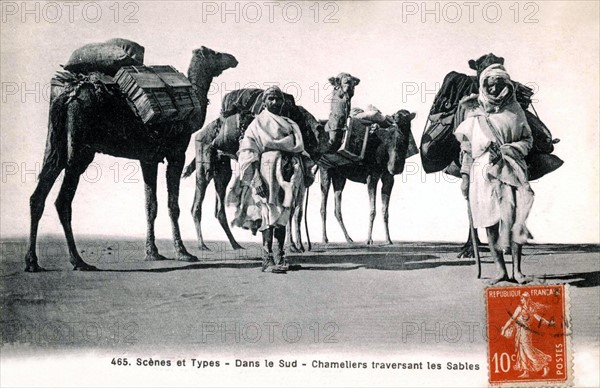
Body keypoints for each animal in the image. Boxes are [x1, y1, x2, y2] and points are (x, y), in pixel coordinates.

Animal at [23, 47, 239, 272]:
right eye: (215, 54)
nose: (233, 59)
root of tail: (67, 95)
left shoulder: (149, 158)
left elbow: (151, 205)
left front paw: (153, 253)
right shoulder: (176, 154)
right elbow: (173, 206)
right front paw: (183, 253)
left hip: (55, 145)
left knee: (39, 193)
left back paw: (32, 262)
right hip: (81, 149)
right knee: (63, 200)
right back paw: (78, 261)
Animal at [182, 88, 326, 252]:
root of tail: (203, 131)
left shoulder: (300, 181)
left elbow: (296, 212)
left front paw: (298, 246)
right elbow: (291, 211)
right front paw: (293, 247)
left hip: (221, 168)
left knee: (219, 205)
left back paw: (235, 244)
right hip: (204, 161)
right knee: (198, 200)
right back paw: (202, 245)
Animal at [318, 109, 418, 244]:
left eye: (405, 115)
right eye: (396, 114)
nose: (395, 118)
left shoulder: (388, 178)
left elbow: (385, 211)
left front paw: (388, 240)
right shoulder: (372, 176)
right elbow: (372, 210)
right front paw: (369, 240)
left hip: (339, 175)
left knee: (337, 207)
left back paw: (349, 239)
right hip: (324, 168)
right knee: (323, 206)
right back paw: (324, 239)